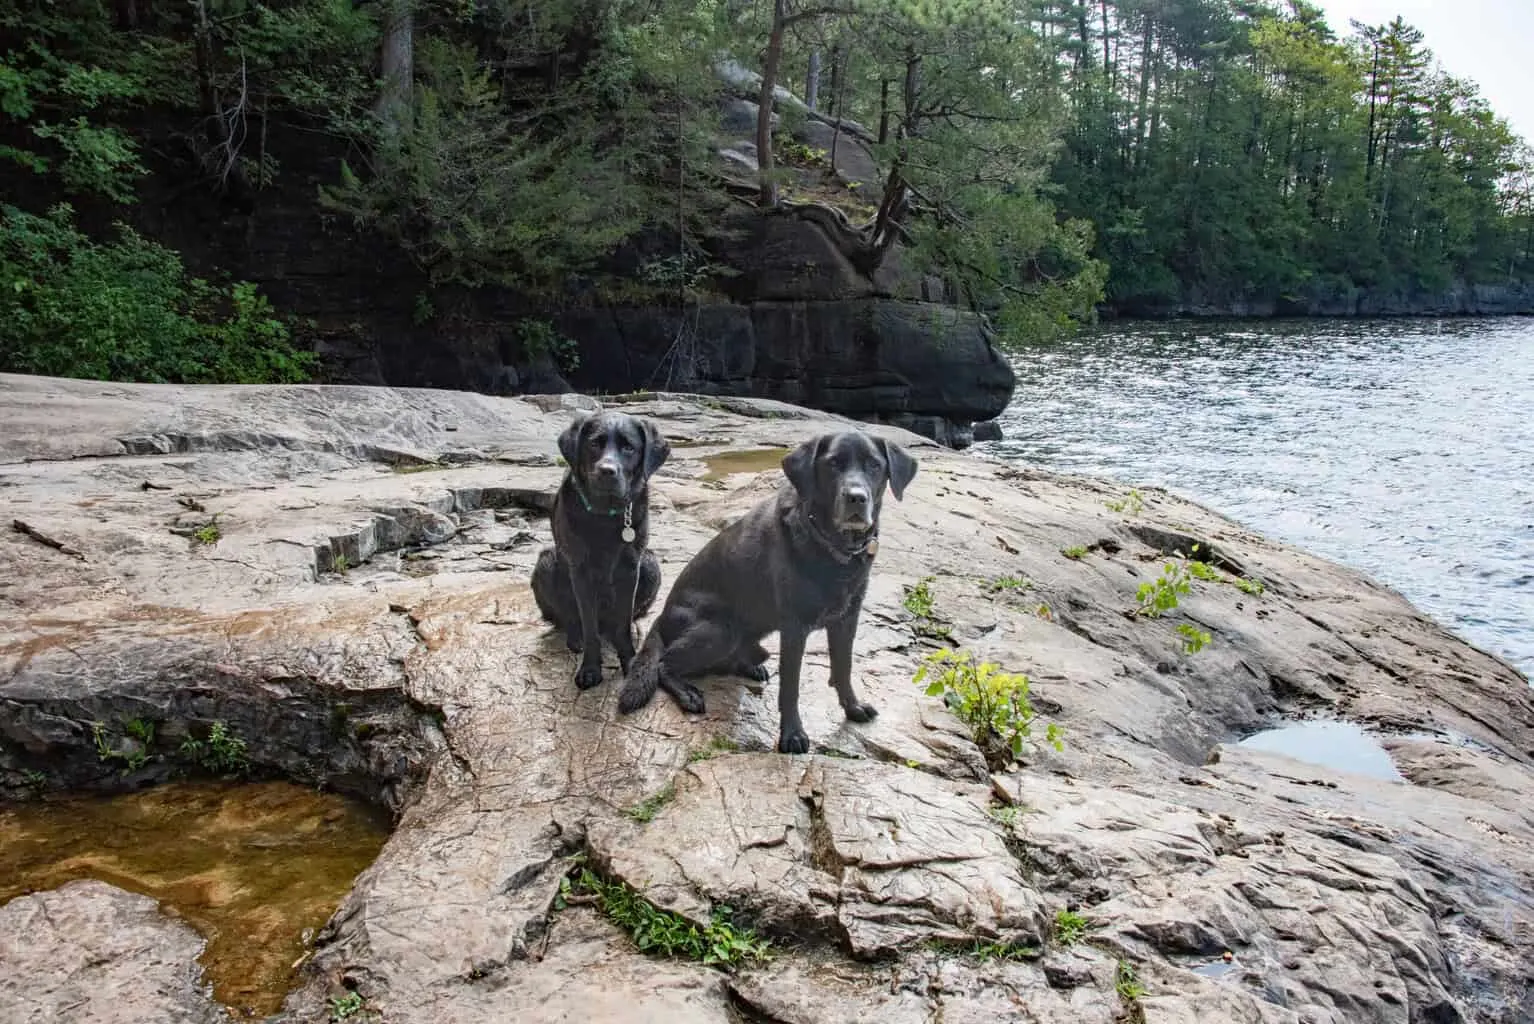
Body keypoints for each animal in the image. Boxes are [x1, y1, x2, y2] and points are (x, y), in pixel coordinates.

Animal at [530, 407, 668, 686]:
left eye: (629, 447)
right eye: (594, 444)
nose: (607, 471)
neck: (606, 514)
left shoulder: (631, 567)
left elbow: (623, 622)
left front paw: (629, 661)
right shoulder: (580, 571)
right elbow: (589, 625)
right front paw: (590, 669)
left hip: (650, 563)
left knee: (621, 621)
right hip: (546, 562)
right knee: (570, 618)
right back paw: (575, 639)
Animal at [616, 426, 914, 751]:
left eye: (875, 465)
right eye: (833, 464)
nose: (857, 498)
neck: (832, 547)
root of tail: (662, 616)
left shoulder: (847, 619)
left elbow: (843, 667)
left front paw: (853, 708)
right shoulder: (795, 628)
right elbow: (791, 685)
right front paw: (792, 735)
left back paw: (748, 666)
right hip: (721, 629)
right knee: (664, 664)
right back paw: (688, 693)